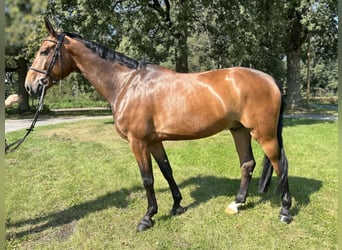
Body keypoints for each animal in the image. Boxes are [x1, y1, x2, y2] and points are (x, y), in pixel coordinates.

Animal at [24, 18, 292, 231]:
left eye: (45, 51)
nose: (30, 86)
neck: (127, 83)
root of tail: (270, 79)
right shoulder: (153, 141)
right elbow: (166, 171)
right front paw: (177, 205)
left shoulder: (138, 142)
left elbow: (148, 179)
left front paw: (147, 218)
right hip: (239, 130)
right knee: (247, 164)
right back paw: (237, 203)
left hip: (264, 134)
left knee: (280, 164)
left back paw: (285, 212)